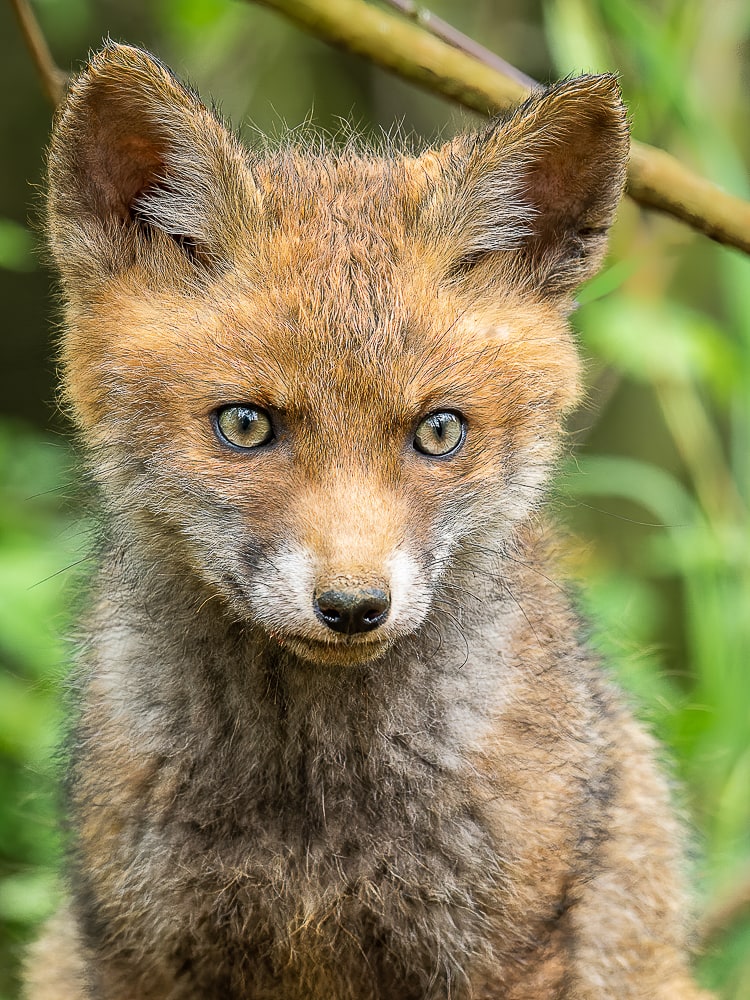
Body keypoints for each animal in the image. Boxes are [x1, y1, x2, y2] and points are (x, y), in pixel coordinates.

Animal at [25, 43, 716, 1000]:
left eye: (439, 432)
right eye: (246, 425)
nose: (353, 608)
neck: (311, 805)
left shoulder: (504, 950)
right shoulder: (142, 952)